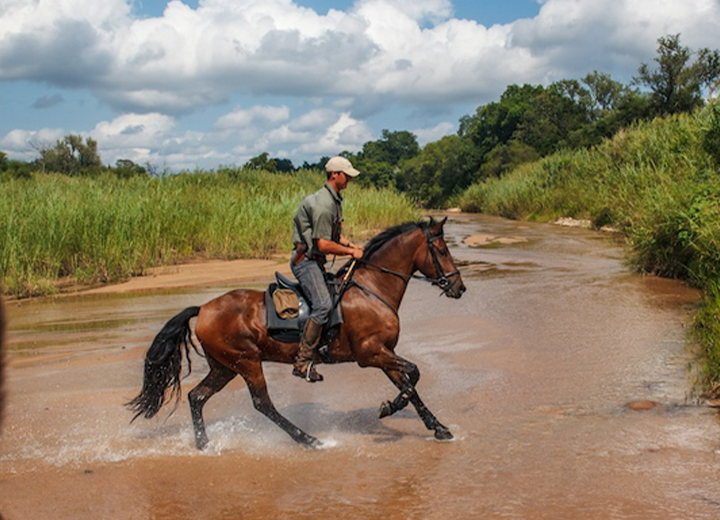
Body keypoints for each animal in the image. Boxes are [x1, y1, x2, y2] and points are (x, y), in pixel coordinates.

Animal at [127, 217, 466, 448]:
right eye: (442, 250)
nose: (459, 288)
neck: (372, 289)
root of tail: (204, 308)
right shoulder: (371, 354)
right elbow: (415, 374)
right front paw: (389, 407)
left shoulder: (384, 353)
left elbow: (410, 386)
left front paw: (438, 428)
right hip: (247, 362)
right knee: (262, 404)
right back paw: (309, 439)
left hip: (224, 366)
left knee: (196, 397)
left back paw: (204, 445)